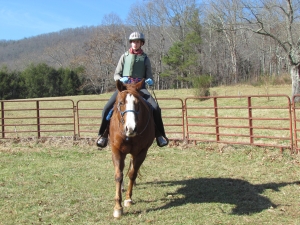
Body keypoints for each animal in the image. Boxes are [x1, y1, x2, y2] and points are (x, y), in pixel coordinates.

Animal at [109, 79, 155, 218]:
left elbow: (132, 173)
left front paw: (128, 199)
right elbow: (118, 175)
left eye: (137, 104)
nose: (131, 128)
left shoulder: (141, 152)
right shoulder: (116, 150)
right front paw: (117, 207)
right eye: (121, 103)